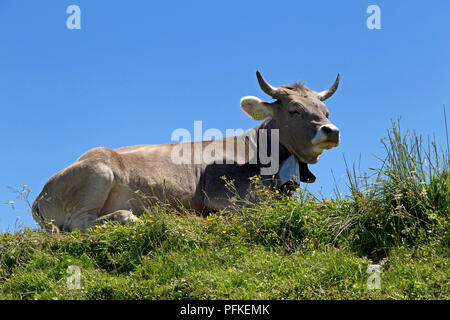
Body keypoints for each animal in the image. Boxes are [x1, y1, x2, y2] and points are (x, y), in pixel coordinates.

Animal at [31, 71, 340, 231]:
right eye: (294, 109)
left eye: (325, 110)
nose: (331, 130)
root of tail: (41, 194)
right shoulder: (223, 195)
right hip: (98, 172)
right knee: (79, 223)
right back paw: (128, 217)